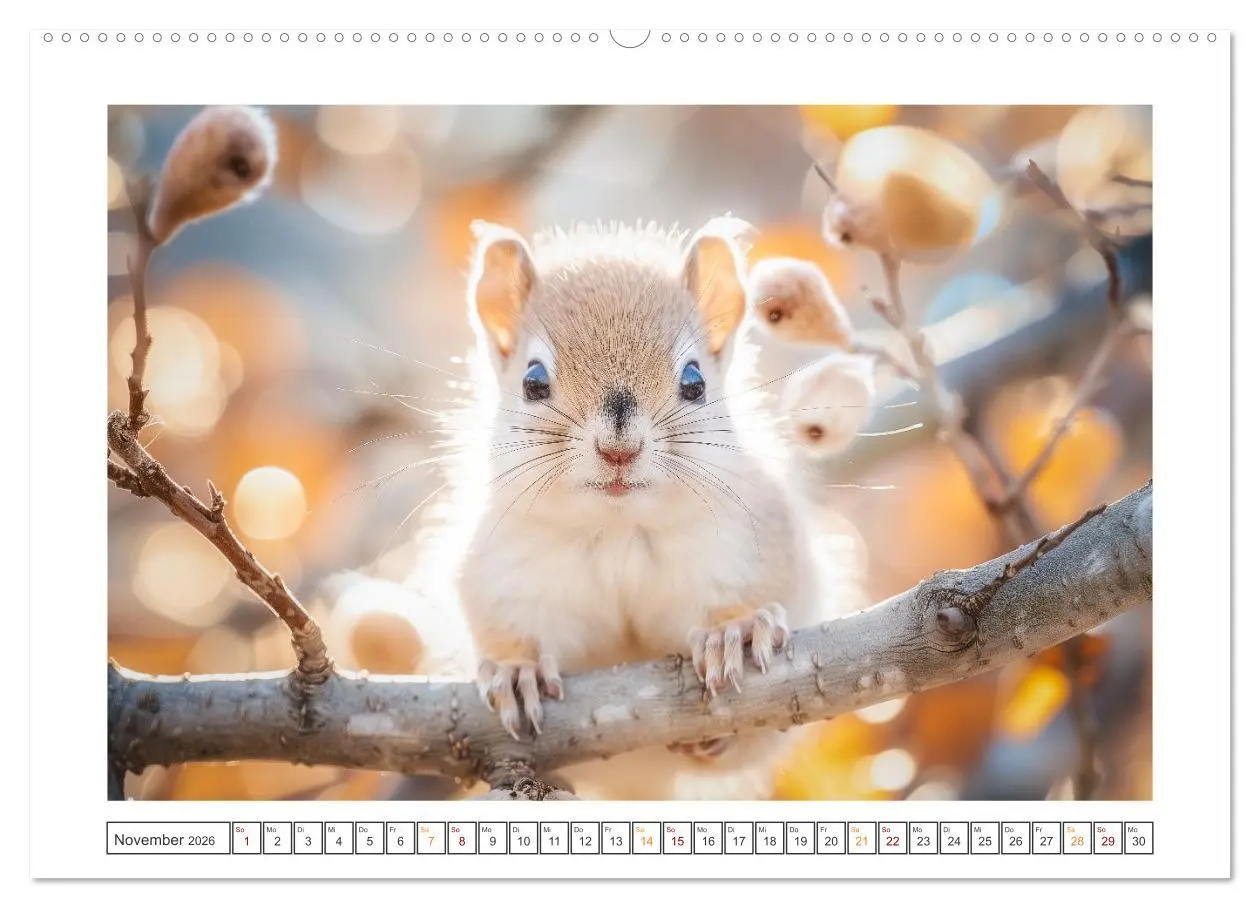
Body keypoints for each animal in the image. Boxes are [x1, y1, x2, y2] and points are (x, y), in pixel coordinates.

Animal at [335, 220, 871, 800]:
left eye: (694, 382)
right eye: (533, 381)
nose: (619, 450)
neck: (618, 527)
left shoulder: (752, 540)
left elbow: (758, 593)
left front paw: (738, 629)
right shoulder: (501, 572)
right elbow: (506, 629)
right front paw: (516, 671)